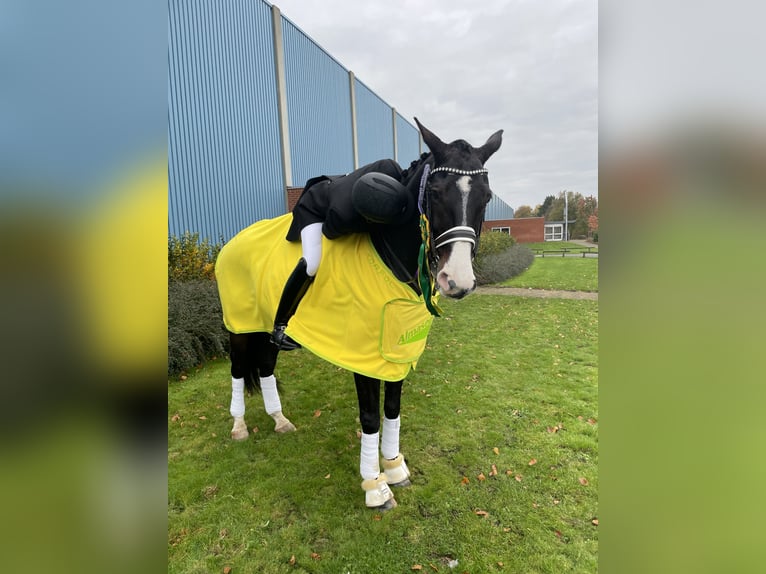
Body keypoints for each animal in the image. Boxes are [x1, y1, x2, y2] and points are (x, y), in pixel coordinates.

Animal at [216, 119, 504, 510]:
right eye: (436, 192)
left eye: (486, 196)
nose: (457, 281)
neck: (389, 255)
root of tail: (232, 242)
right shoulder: (363, 357)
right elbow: (370, 418)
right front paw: (374, 486)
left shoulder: (396, 351)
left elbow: (392, 409)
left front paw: (395, 468)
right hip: (240, 327)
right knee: (237, 370)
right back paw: (239, 427)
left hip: (265, 328)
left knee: (264, 367)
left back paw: (279, 419)